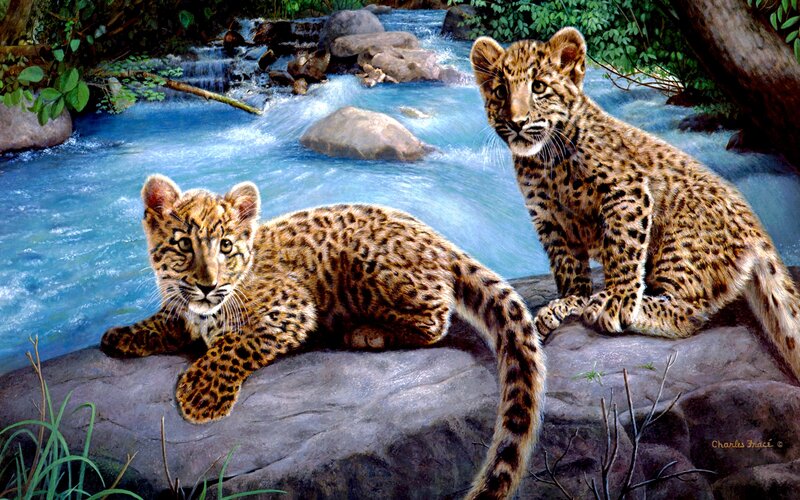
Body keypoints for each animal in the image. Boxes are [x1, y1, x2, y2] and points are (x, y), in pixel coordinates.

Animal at [100, 174, 545, 500]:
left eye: (225, 246)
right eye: (182, 245)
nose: (208, 285)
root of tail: (439, 240)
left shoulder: (291, 307)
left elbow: (233, 344)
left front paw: (201, 395)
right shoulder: (184, 309)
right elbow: (166, 320)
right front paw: (121, 336)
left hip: (372, 268)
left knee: (437, 318)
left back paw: (365, 333)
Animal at [470, 27, 800, 380]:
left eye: (539, 87)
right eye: (500, 91)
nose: (516, 121)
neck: (543, 161)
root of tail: (755, 227)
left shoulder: (626, 190)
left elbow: (622, 251)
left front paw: (614, 304)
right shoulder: (549, 218)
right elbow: (567, 266)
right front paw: (569, 302)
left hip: (679, 248)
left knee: (688, 313)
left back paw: (618, 306)